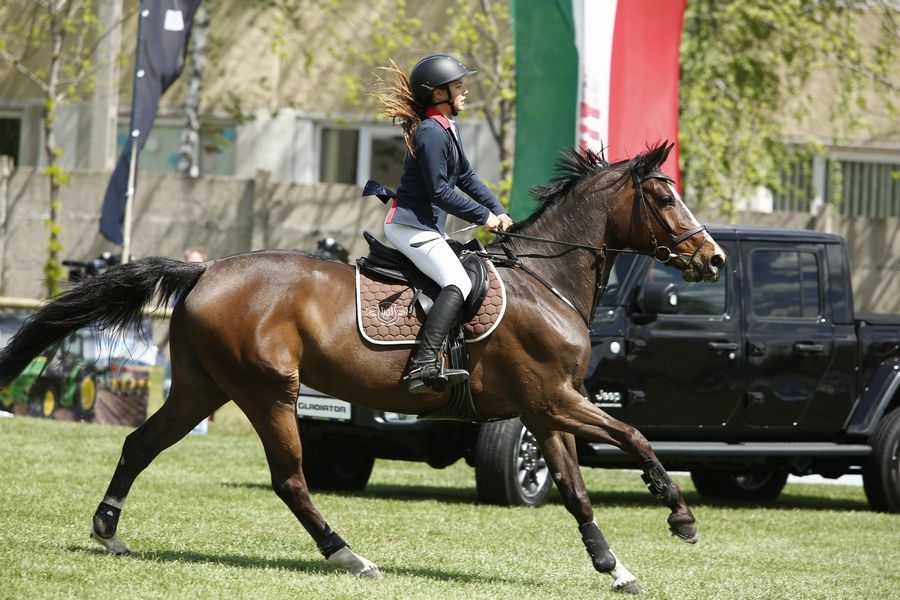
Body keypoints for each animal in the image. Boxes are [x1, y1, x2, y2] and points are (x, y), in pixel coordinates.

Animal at [0, 141, 725, 595]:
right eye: (665, 199)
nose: (712, 259)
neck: (547, 281)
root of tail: (205, 270)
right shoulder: (552, 399)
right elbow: (636, 437)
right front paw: (681, 520)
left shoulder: (545, 409)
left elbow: (575, 490)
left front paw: (615, 567)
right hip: (269, 392)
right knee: (290, 479)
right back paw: (349, 555)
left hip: (203, 388)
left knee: (141, 442)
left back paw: (108, 531)